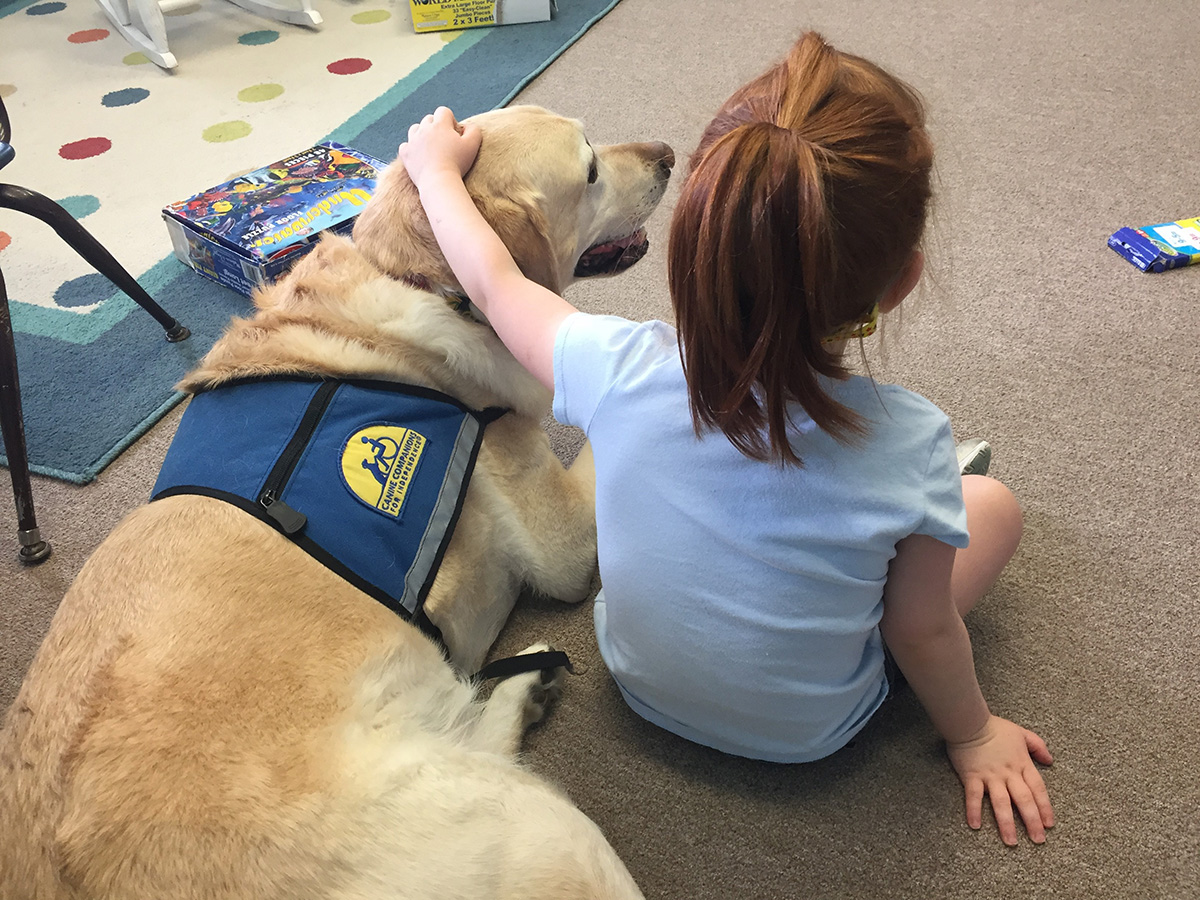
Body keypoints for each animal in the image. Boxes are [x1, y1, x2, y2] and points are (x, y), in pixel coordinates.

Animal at [0, 107, 676, 900]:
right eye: (591, 168)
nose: (669, 154)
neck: (413, 279)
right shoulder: (562, 534)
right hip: (533, 824)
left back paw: (523, 686)